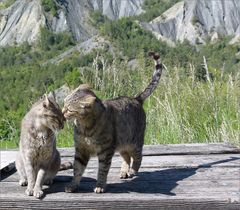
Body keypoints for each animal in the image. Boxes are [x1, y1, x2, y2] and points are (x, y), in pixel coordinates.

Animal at [62, 51, 163, 193]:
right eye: (64, 103)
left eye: (69, 109)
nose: (62, 112)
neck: (84, 127)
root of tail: (136, 98)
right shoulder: (81, 150)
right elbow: (77, 170)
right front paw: (73, 185)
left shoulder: (106, 151)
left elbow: (102, 171)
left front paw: (100, 185)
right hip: (122, 143)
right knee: (126, 157)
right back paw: (124, 171)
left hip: (134, 142)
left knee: (138, 157)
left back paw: (133, 170)